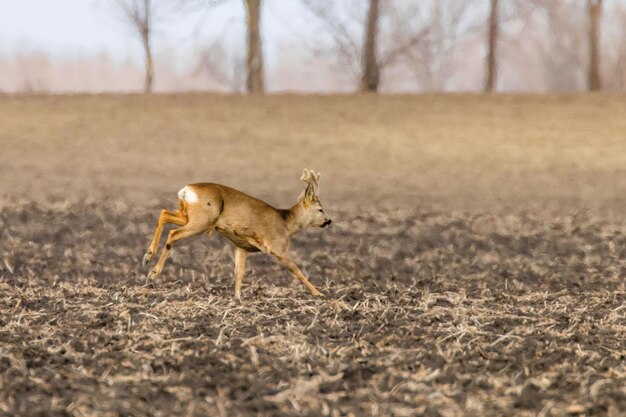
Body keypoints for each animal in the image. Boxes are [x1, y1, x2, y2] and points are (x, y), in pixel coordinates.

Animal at [143, 167, 332, 298]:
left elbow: (239, 273)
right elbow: (298, 272)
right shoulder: (279, 247)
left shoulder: (242, 246)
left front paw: (237, 298)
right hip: (202, 220)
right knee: (173, 233)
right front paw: (319, 293)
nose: (328, 221)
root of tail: (186, 190)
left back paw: (147, 256)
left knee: (163, 214)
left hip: (189, 216)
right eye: (320, 209)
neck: (287, 222)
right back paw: (153, 272)